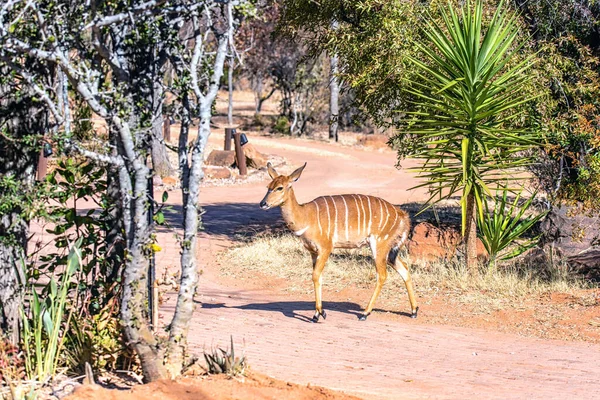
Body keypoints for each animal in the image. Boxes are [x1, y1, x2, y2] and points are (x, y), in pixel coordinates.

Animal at [260, 162, 420, 322]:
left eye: (280, 187)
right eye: (268, 186)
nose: (263, 203)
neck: (306, 216)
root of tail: (402, 215)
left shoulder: (326, 248)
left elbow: (315, 275)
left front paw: (321, 312)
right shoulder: (313, 251)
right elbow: (318, 277)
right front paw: (316, 314)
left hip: (379, 245)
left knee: (382, 275)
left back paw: (365, 313)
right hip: (390, 250)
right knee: (404, 269)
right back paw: (413, 311)